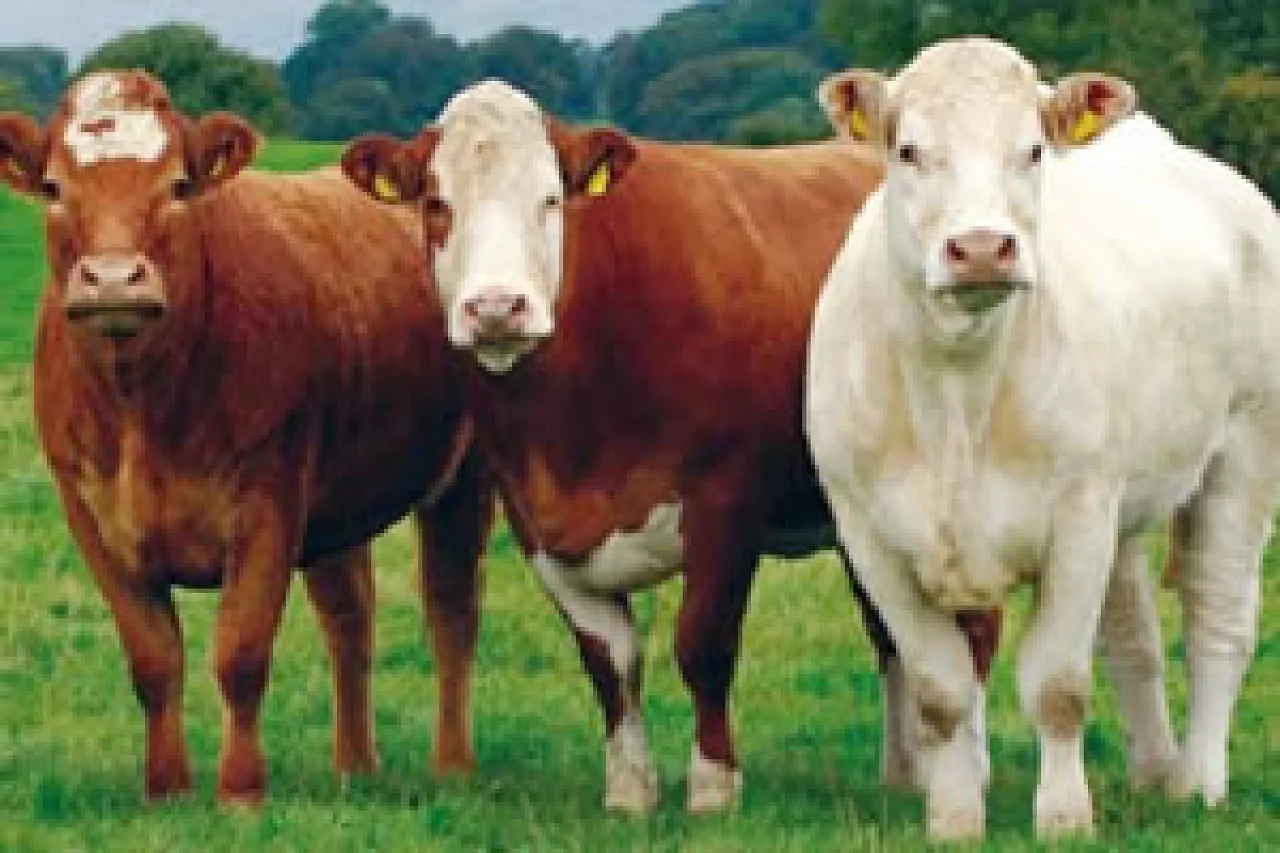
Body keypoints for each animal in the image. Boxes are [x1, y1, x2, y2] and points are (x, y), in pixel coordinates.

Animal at [0, 71, 491, 805]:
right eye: (55, 188)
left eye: (178, 184)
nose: (113, 278)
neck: (141, 408)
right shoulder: (89, 514)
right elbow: (153, 658)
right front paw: (168, 788)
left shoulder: (267, 502)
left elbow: (241, 653)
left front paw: (240, 792)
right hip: (336, 505)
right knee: (350, 618)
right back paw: (354, 765)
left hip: (466, 475)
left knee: (451, 612)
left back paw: (454, 767)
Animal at [339, 79, 1003, 814]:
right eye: (436, 204)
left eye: (550, 199)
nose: (495, 308)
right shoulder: (536, 522)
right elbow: (609, 663)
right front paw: (630, 791)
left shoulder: (726, 503)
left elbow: (702, 645)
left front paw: (713, 787)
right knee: (893, 631)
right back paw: (905, 772)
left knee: (973, 630)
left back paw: (966, 771)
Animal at [806, 37, 1280, 840]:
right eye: (907, 150)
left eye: (1031, 150)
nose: (981, 247)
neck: (957, 392)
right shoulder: (868, 536)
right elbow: (940, 690)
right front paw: (954, 818)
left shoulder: (1079, 517)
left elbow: (1057, 685)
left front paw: (1063, 818)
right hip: (1126, 501)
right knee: (1134, 639)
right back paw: (1154, 772)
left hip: (1245, 448)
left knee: (1218, 619)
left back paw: (1198, 783)